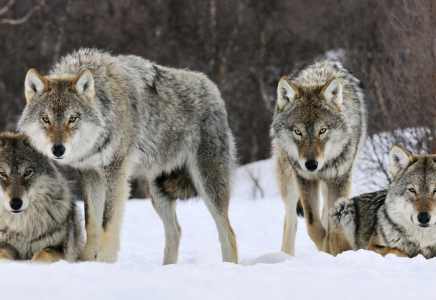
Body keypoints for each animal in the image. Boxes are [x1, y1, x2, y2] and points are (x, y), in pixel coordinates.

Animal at [0, 132, 84, 262]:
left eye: (28, 172)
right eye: (2, 174)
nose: (15, 203)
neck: (22, 227)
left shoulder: (60, 250)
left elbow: (41, 254)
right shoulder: (5, 245)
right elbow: (3, 254)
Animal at [18, 48, 238, 264]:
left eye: (72, 118)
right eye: (45, 119)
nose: (58, 150)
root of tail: (213, 88)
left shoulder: (115, 173)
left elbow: (107, 225)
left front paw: (104, 263)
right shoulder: (91, 174)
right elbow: (92, 223)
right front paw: (86, 262)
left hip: (207, 185)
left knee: (228, 233)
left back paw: (228, 266)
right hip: (158, 192)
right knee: (175, 231)